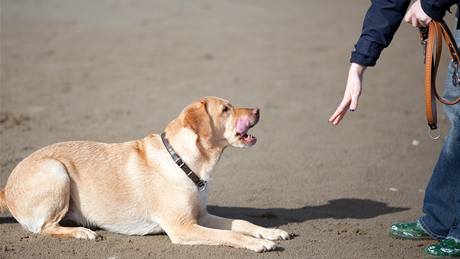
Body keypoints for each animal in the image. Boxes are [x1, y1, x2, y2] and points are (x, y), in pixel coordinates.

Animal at [0, 97, 288, 252]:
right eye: (226, 109)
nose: (258, 110)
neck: (183, 160)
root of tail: (6, 188)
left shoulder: (202, 217)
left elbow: (242, 222)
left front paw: (270, 232)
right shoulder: (183, 227)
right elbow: (230, 235)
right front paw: (257, 244)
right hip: (56, 169)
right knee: (44, 227)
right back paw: (82, 233)